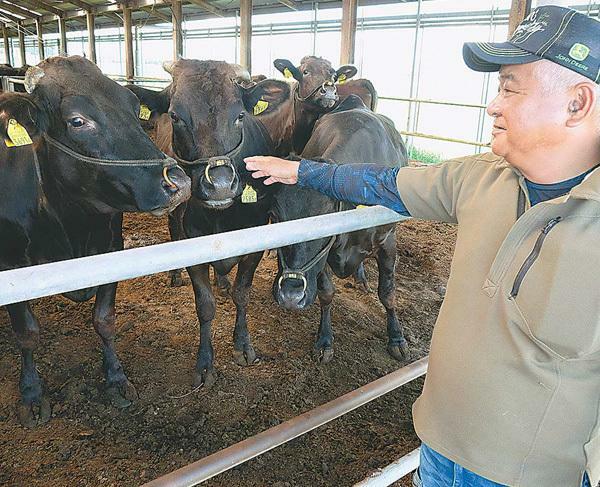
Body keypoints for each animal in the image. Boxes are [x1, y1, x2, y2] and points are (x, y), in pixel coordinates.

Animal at [0, 56, 191, 428]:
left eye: (132, 106)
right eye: (77, 121)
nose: (177, 181)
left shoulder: (111, 248)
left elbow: (104, 319)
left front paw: (115, 378)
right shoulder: (11, 263)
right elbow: (27, 333)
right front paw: (31, 394)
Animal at [129, 60, 278, 388]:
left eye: (240, 115)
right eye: (176, 116)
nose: (220, 185)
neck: (221, 218)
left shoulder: (255, 245)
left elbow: (242, 294)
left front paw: (243, 345)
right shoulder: (192, 243)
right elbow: (205, 306)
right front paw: (206, 364)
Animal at [270, 96, 408, 362]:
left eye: (326, 221)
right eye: (275, 217)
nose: (291, 296)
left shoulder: (388, 241)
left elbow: (388, 292)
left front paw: (396, 338)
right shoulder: (325, 257)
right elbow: (326, 293)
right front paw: (325, 340)